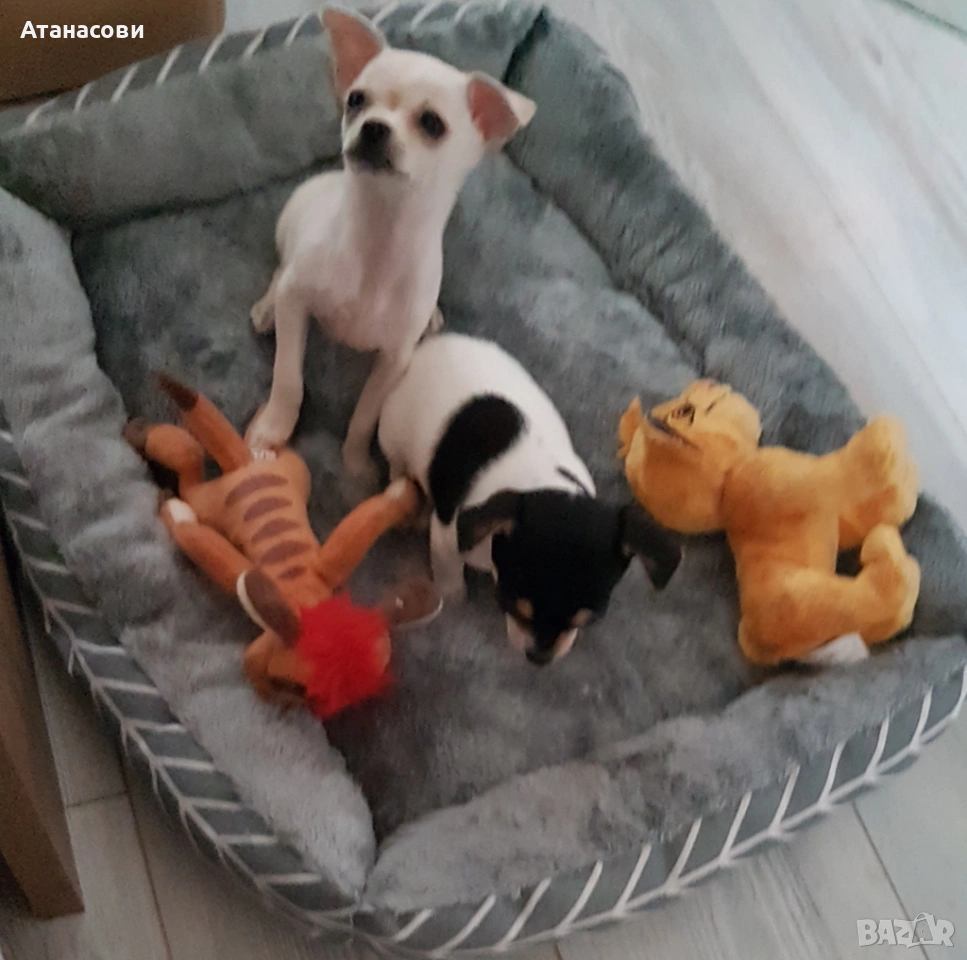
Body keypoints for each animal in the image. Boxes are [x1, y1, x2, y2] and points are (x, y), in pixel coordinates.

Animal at [247, 8, 536, 490]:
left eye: (432, 124)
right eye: (356, 101)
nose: (373, 127)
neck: (378, 236)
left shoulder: (394, 358)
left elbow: (366, 415)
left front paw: (356, 464)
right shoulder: (298, 299)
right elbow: (289, 380)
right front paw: (272, 429)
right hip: (289, 234)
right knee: (278, 274)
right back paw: (266, 309)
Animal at [377, 333, 683, 665]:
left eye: (586, 620)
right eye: (513, 605)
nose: (540, 658)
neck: (540, 478)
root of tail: (431, 344)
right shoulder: (447, 534)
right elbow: (448, 568)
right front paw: (453, 595)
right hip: (393, 432)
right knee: (398, 466)